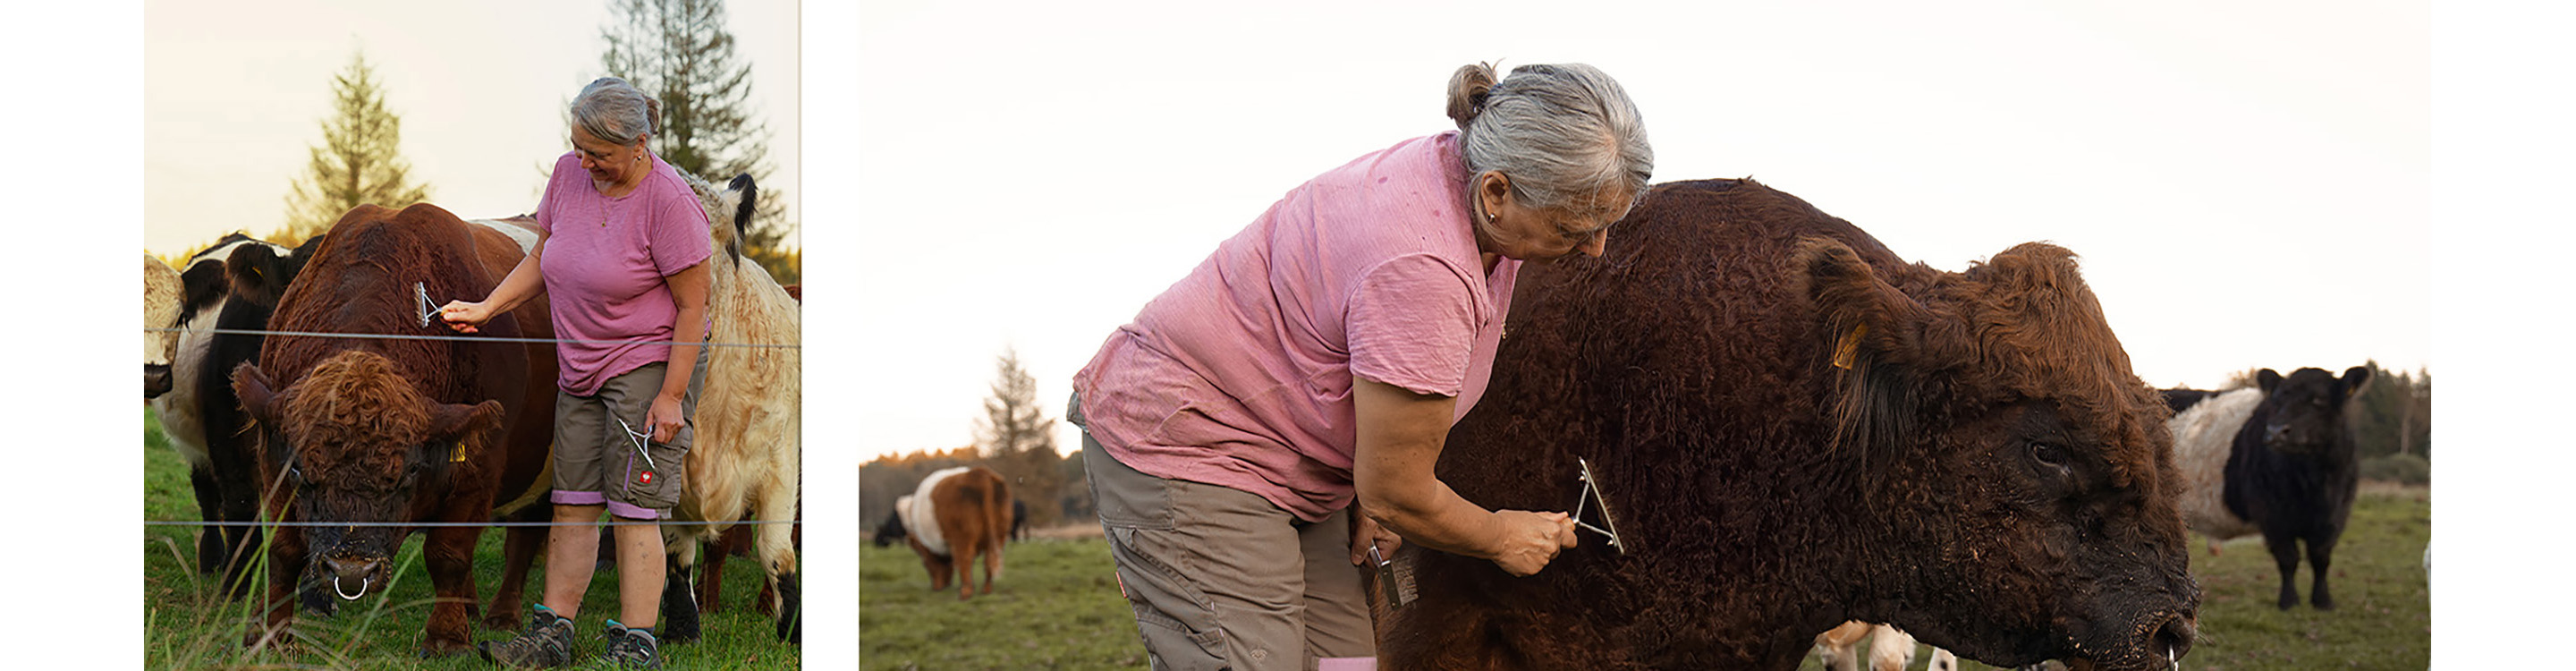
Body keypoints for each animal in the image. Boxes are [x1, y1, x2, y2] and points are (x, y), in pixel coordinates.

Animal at [233, 203, 558, 655]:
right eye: (301, 471)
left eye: (410, 472)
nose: (351, 570)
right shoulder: (273, 458)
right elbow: (283, 550)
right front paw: (270, 634)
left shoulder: (480, 465)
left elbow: (448, 553)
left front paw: (447, 637)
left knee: (523, 539)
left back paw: (503, 614)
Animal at [902, 467, 1009, 604]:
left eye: (924, 564)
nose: (937, 588)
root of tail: (977, 472)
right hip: (1000, 534)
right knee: (989, 559)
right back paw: (986, 590)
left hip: (963, 537)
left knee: (965, 559)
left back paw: (965, 593)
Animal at [2164, 366, 2360, 608]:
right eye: (2276, 401)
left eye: (2319, 400)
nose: (2276, 431)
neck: (2315, 485)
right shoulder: (2272, 515)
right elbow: (2288, 557)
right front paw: (2289, 601)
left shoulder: (2335, 515)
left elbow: (2321, 556)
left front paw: (2323, 601)